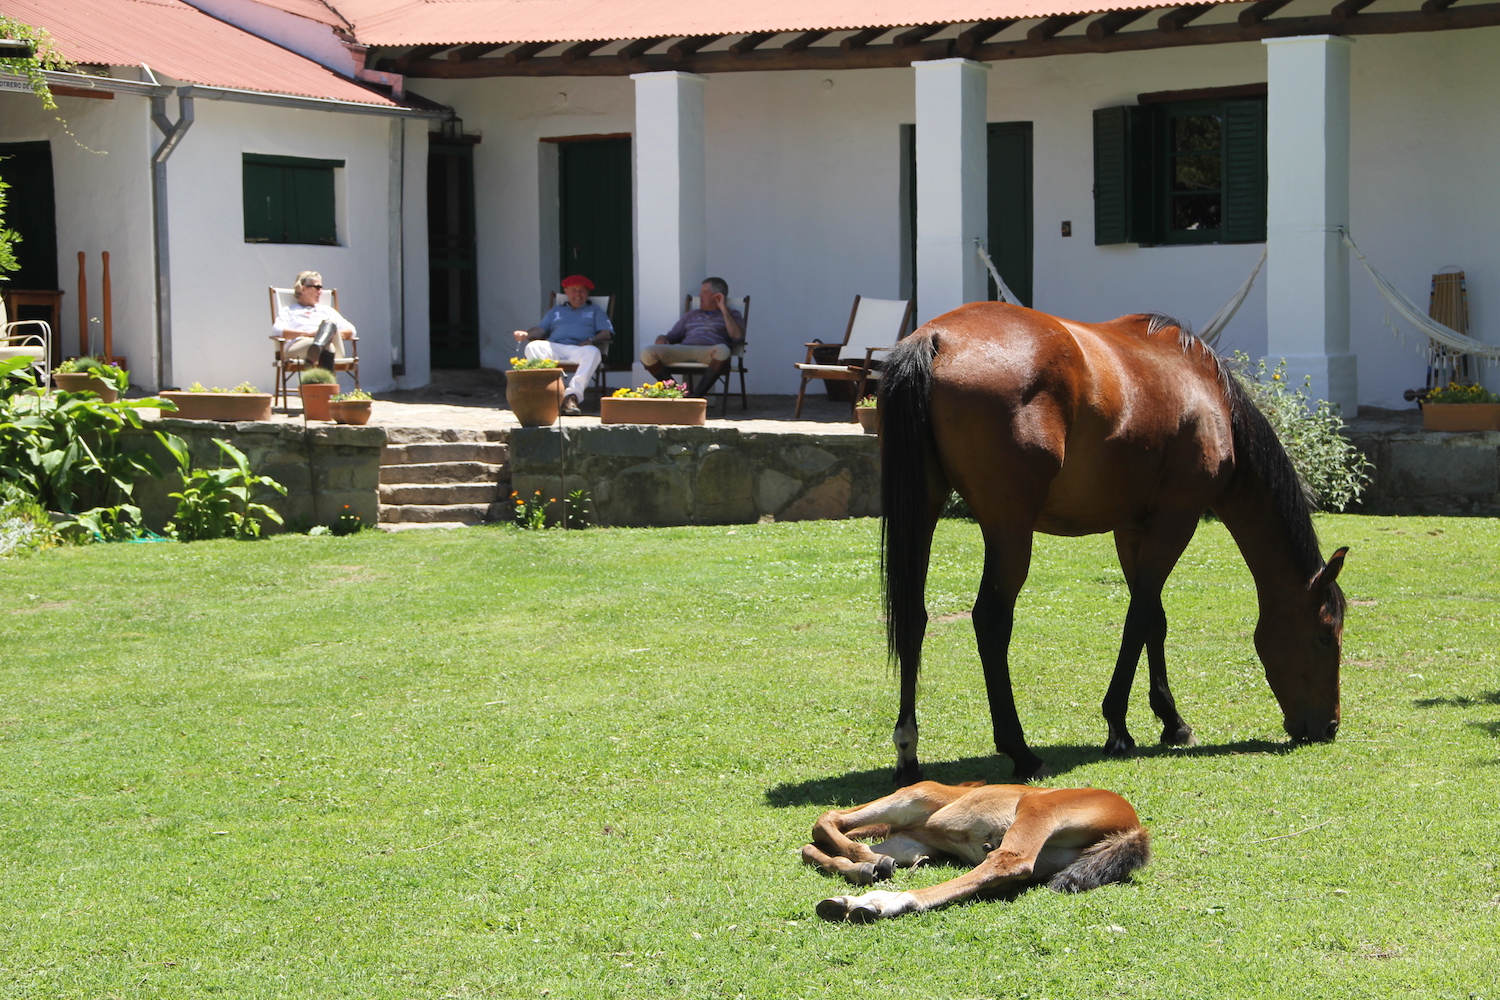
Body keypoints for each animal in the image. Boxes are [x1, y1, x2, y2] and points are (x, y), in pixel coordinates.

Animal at [810, 779, 1146, 923]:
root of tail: (1133, 826)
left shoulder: (916, 795)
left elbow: (825, 821)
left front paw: (864, 860)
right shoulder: (910, 842)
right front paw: (865, 864)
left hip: (1038, 808)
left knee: (1007, 861)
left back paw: (876, 902)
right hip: (1052, 856)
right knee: (999, 875)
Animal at [876, 301, 1350, 785]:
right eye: (1325, 637)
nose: (1329, 727)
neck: (1206, 392)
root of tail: (936, 338)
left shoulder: (1132, 529)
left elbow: (1155, 618)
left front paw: (1172, 722)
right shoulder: (1175, 521)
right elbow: (1138, 618)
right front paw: (1119, 727)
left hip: (926, 507)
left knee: (913, 616)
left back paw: (908, 753)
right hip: (1010, 529)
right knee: (990, 619)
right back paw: (1021, 752)